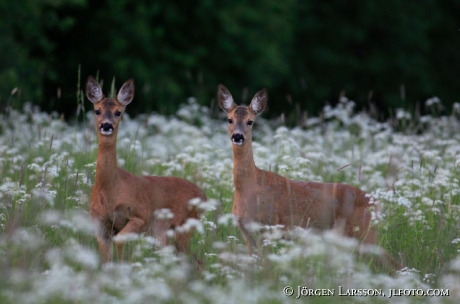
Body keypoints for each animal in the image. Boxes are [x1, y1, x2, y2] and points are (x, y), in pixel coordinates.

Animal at [86, 76, 207, 264]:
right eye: (97, 111)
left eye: (118, 112)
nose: (106, 125)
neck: (111, 190)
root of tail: (204, 196)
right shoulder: (101, 226)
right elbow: (106, 260)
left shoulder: (140, 215)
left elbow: (120, 241)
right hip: (166, 231)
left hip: (182, 226)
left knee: (196, 261)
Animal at [217, 84, 400, 270]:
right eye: (229, 119)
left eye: (250, 121)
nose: (238, 136)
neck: (249, 187)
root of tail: (376, 202)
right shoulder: (247, 233)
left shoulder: (269, 226)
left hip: (363, 230)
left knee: (393, 262)